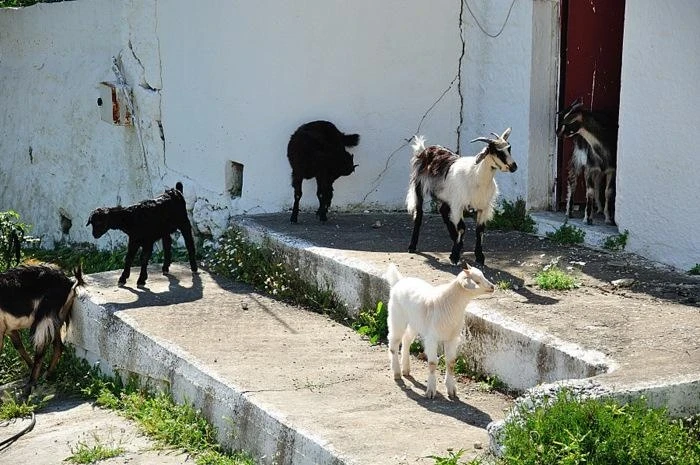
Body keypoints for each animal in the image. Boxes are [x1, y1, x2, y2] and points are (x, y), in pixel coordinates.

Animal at [0, 263, 85, 396]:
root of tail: (69, 282)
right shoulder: (9, 329)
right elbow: (19, 346)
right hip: (56, 318)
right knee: (58, 347)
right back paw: (46, 375)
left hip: (44, 317)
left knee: (41, 349)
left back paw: (29, 388)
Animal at [385, 263, 495, 399]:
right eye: (477, 281)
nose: (492, 287)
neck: (450, 305)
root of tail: (399, 281)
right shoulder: (432, 338)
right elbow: (432, 363)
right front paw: (431, 390)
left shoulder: (452, 338)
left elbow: (451, 363)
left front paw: (451, 389)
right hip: (397, 318)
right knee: (393, 344)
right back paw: (397, 372)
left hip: (415, 323)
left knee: (406, 340)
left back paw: (406, 369)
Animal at [407, 129, 517, 266]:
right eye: (496, 151)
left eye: (509, 148)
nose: (514, 167)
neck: (476, 176)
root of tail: (424, 150)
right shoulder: (458, 205)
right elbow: (462, 228)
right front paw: (454, 256)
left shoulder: (483, 207)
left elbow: (480, 230)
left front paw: (479, 257)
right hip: (419, 185)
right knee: (419, 214)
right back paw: (412, 246)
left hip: (448, 196)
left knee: (443, 211)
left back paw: (456, 240)